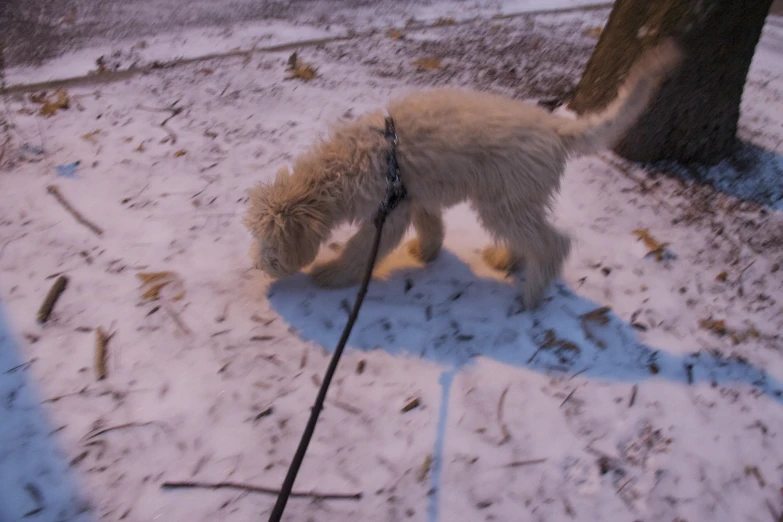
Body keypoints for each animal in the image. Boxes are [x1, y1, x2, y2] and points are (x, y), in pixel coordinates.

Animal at [243, 42, 680, 308]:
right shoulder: (414, 196)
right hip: (514, 202)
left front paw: (331, 275)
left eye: (269, 242)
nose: (260, 267)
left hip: (504, 203)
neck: (348, 164)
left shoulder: (389, 211)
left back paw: (531, 296)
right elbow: (432, 226)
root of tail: (556, 127)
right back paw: (507, 260)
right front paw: (428, 253)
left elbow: (358, 250)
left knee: (553, 244)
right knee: (532, 239)